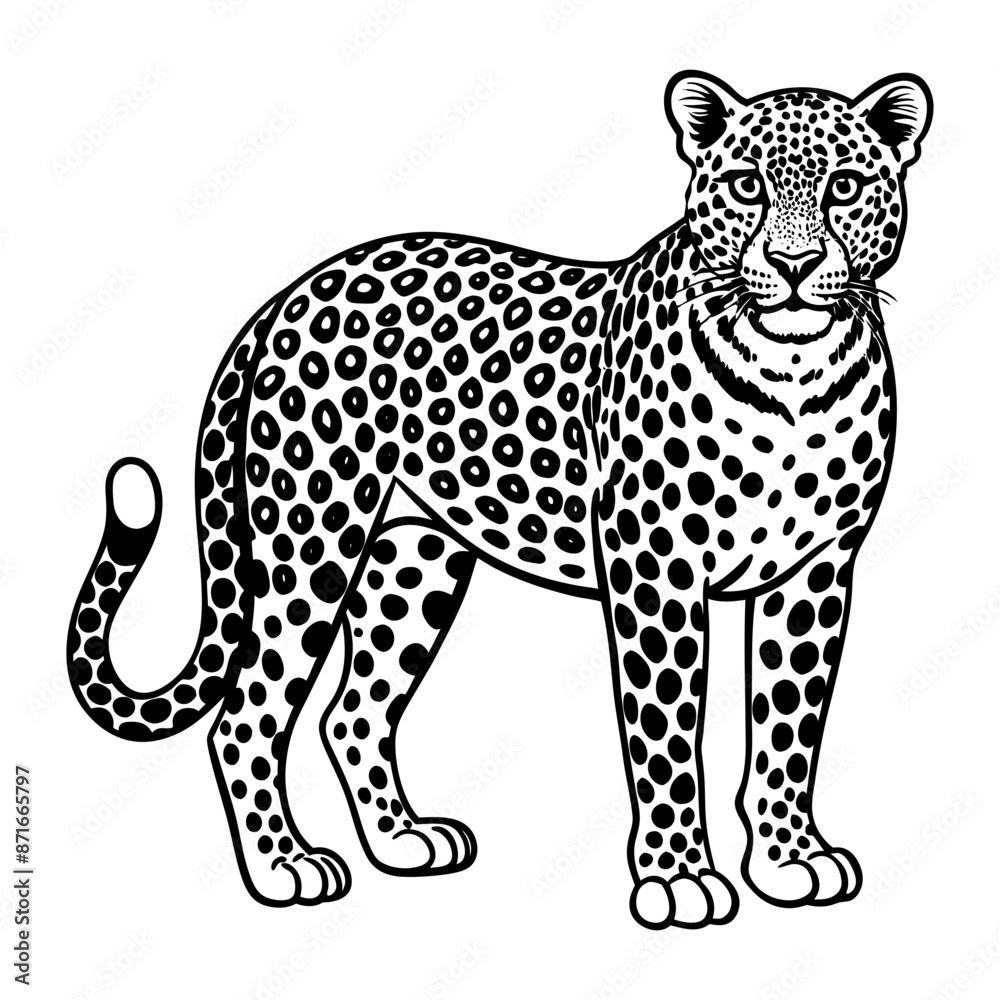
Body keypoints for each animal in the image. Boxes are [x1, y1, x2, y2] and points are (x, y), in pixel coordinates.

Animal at [67, 71, 931, 929]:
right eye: (747, 186)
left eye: (845, 186)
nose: (794, 263)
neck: (794, 378)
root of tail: (284, 298)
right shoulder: (654, 567)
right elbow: (666, 732)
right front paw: (678, 876)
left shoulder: (817, 572)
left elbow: (789, 724)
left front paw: (790, 859)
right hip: (311, 545)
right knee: (248, 716)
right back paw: (286, 864)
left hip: (414, 560)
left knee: (353, 713)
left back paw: (402, 839)